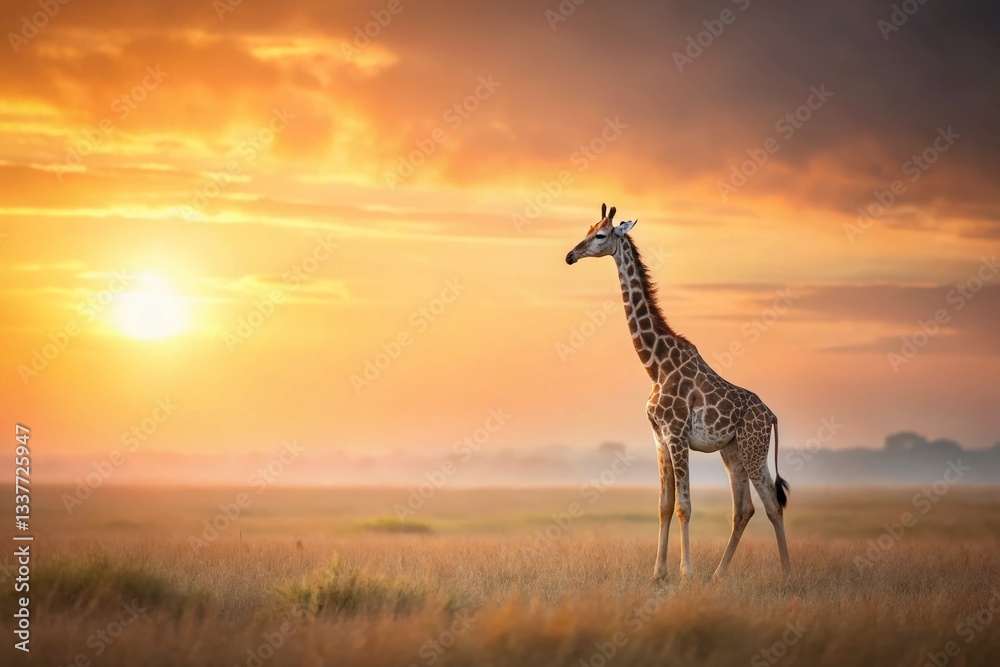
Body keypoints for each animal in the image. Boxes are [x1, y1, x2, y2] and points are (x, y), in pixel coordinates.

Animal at [565, 203, 791, 580]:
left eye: (601, 235)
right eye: (587, 230)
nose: (570, 255)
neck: (655, 365)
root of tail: (772, 414)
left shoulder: (676, 434)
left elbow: (684, 505)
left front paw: (686, 572)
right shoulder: (658, 438)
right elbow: (664, 505)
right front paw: (659, 573)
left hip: (753, 450)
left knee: (773, 504)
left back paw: (786, 572)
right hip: (731, 452)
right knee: (744, 509)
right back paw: (719, 575)